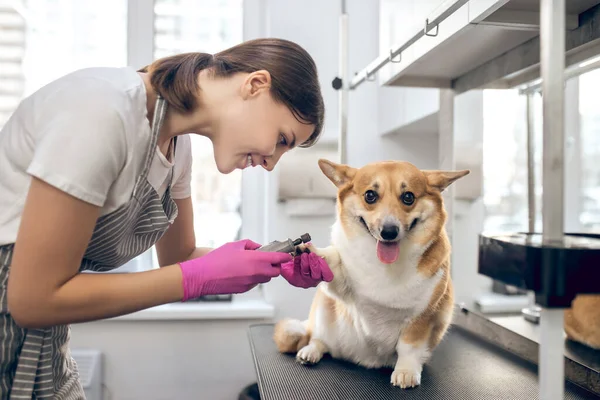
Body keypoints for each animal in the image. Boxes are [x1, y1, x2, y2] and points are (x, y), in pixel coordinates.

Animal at [272, 159, 468, 388]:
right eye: (370, 196)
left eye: (408, 197)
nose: (389, 232)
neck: (385, 266)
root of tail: (363, 358)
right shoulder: (343, 284)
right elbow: (332, 259)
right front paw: (309, 252)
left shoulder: (422, 317)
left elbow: (409, 348)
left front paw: (406, 372)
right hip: (323, 307)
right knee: (320, 339)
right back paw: (310, 351)